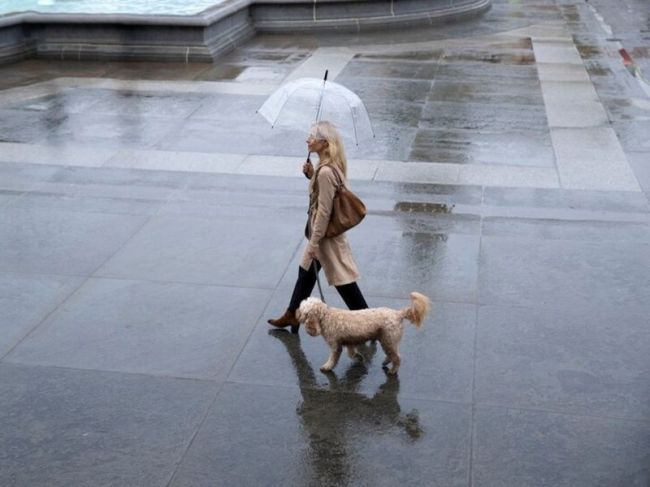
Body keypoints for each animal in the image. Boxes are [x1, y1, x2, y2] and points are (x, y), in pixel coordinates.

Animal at [294, 294, 428, 374]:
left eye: (302, 309)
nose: (296, 313)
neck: (325, 316)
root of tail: (398, 314)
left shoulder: (335, 345)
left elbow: (333, 358)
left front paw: (327, 367)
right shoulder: (349, 341)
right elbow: (351, 353)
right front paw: (359, 357)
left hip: (388, 339)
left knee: (397, 357)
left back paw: (393, 370)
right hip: (387, 340)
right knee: (392, 355)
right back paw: (386, 362)